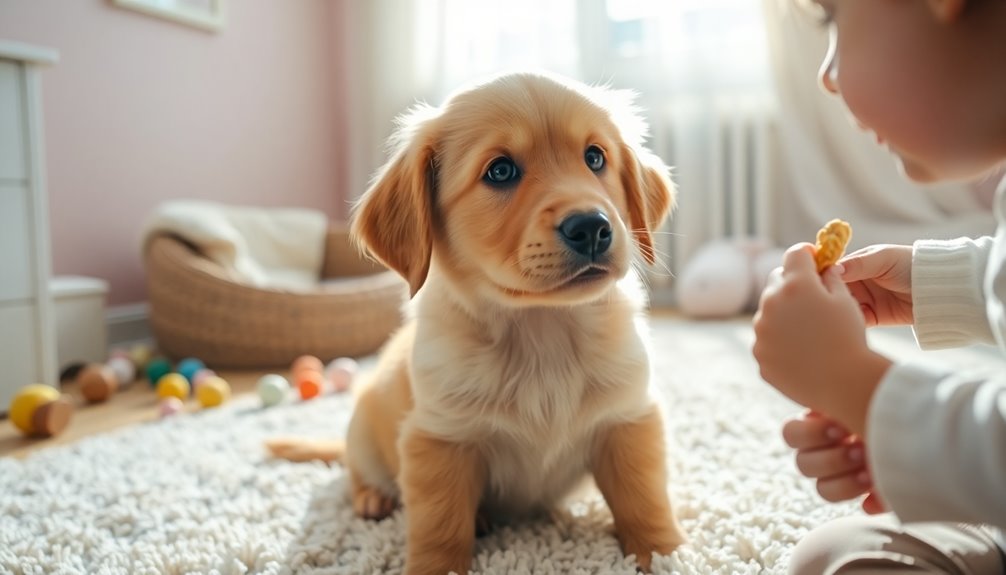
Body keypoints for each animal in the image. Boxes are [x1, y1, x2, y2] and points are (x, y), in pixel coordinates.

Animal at [273, 71, 684, 575]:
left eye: (595, 158)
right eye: (500, 171)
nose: (592, 227)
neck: (542, 329)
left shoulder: (627, 419)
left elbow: (643, 498)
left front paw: (663, 553)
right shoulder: (440, 439)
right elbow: (440, 525)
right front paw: (437, 567)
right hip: (364, 433)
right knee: (355, 472)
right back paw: (374, 499)